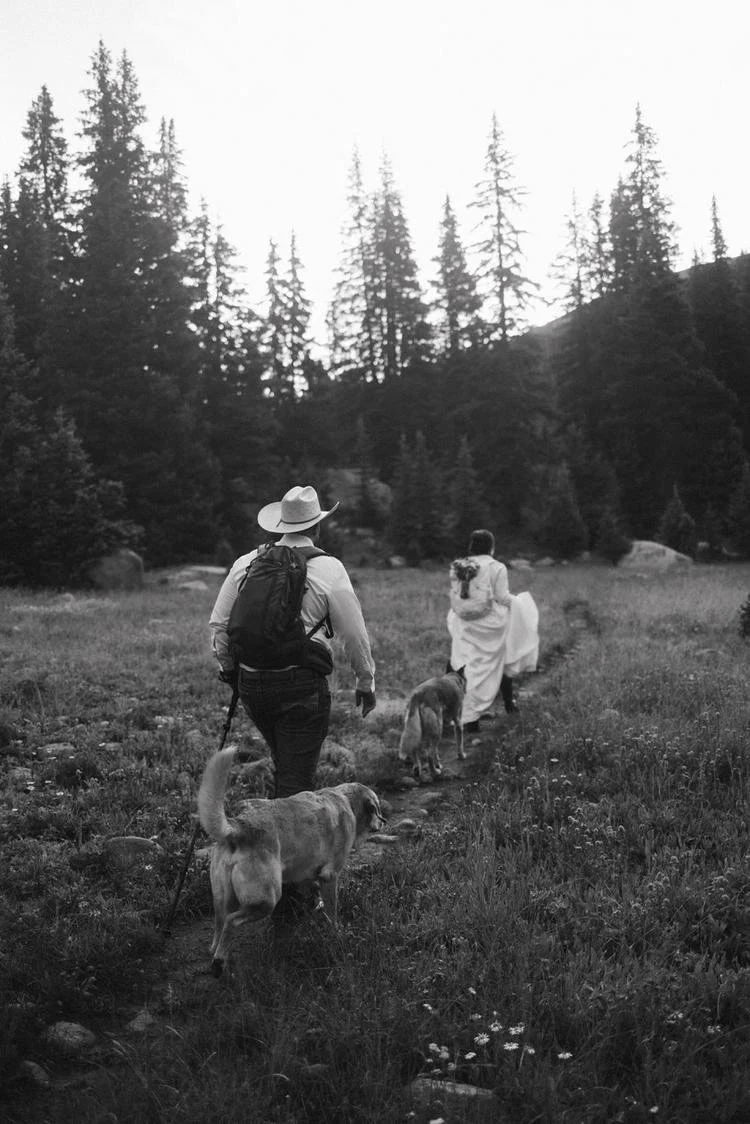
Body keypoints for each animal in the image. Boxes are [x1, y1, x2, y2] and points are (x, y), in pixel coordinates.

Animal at [197, 746, 384, 975]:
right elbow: (332, 911)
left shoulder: (307, 873)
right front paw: (336, 933)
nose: (383, 823)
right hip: (266, 899)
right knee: (232, 922)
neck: (345, 799)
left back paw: (217, 952)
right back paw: (219, 962)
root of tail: (238, 827)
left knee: (220, 922)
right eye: (377, 808)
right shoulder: (330, 876)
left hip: (222, 897)